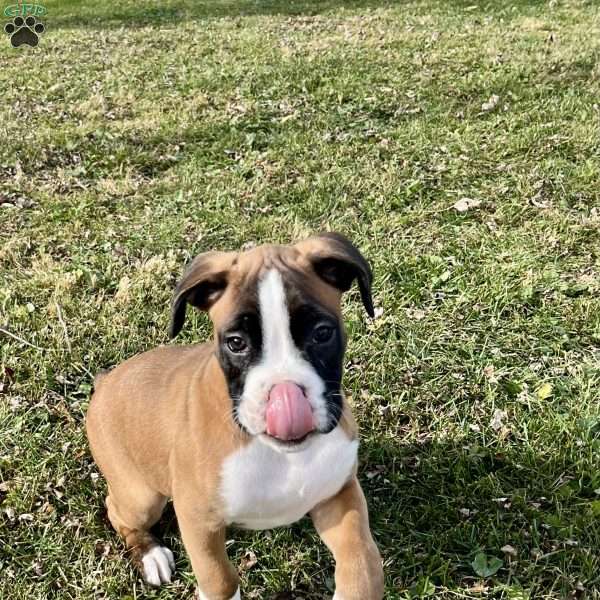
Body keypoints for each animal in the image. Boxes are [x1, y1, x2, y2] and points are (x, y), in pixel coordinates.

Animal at [85, 232, 384, 596]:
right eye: (237, 343)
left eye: (323, 333)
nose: (285, 394)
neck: (280, 454)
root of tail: (104, 381)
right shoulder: (199, 520)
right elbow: (219, 578)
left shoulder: (339, 495)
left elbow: (362, 558)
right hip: (142, 496)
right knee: (117, 511)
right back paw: (150, 554)